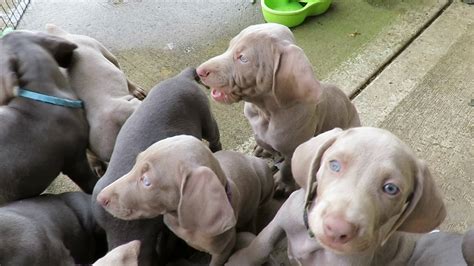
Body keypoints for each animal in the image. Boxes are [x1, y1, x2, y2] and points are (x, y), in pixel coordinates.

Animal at [196, 23, 360, 197]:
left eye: (243, 58)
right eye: (229, 46)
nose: (199, 71)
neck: (265, 112)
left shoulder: (292, 149)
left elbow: (287, 167)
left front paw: (282, 184)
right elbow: (260, 138)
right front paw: (263, 147)